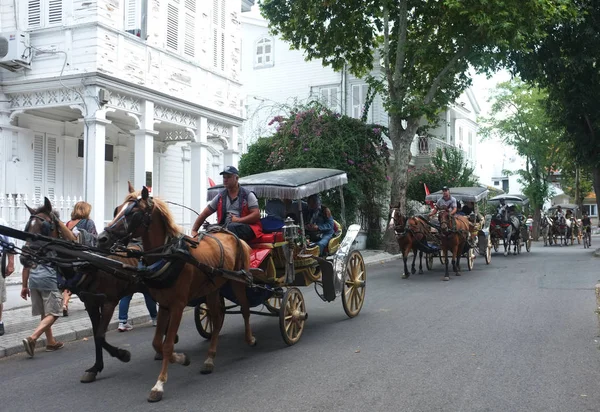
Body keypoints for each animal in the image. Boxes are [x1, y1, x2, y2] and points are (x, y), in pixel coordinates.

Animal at [19, 196, 141, 384]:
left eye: (45, 227)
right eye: (27, 228)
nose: (24, 257)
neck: (88, 262)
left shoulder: (109, 302)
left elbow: (100, 335)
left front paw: (122, 354)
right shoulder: (90, 302)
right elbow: (97, 336)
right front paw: (96, 368)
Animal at [95, 184, 253, 402]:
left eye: (134, 213)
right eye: (117, 209)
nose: (102, 238)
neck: (168, 255)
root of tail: (227, 232)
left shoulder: (178, 305)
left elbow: (168, 344)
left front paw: (159, 384)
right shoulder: (164, 304)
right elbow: (157, 343)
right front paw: (182, 358)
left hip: (238, 281)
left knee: (245, 309)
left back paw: (249, 338)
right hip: (213, 288)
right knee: (217, 317)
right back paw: (209, 358)